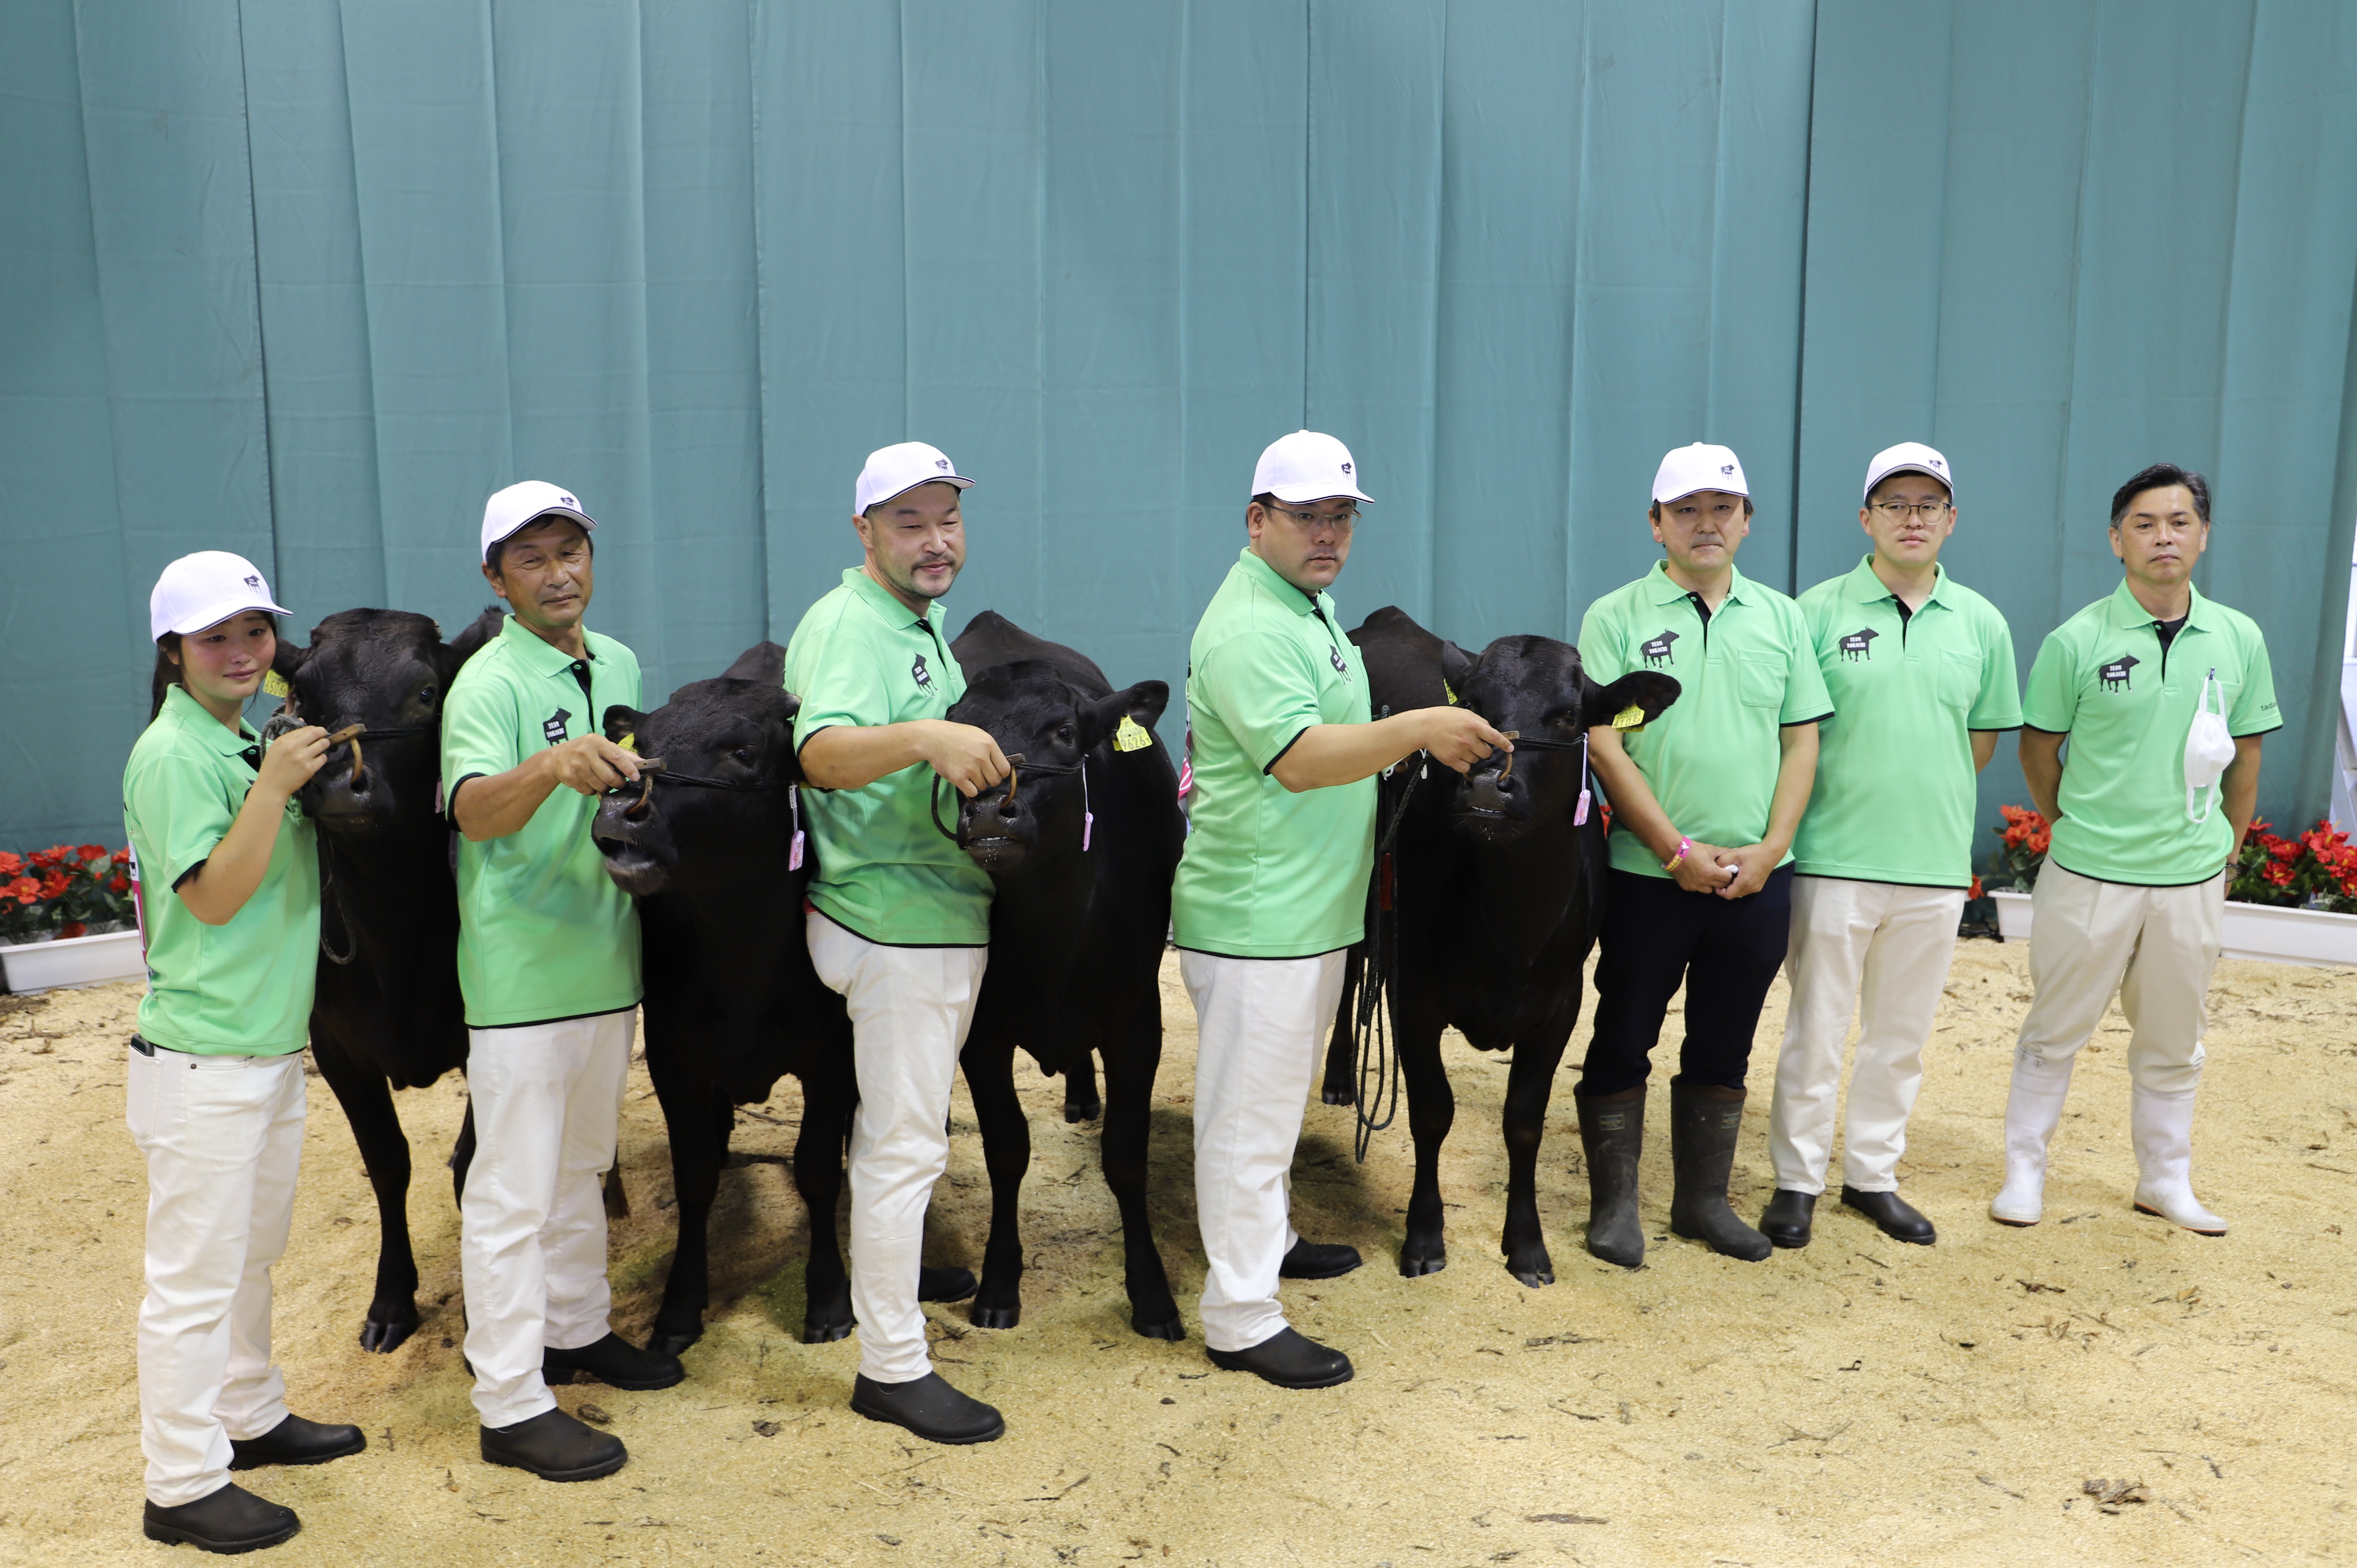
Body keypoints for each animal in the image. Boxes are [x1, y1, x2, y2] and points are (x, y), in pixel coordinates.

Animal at [270, 601, 499, 1348]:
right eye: (303, 695)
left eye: (426, 692)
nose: (342, 782)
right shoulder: (337, 1049)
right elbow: (387, 1162)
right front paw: (392, 1300)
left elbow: (474, 1165)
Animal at [943, 608, 1188, 1330]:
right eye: (957, 729)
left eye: (1063, 731)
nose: (988, 807)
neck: (1051, 937)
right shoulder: (981, 1031)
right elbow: (1006, 1147)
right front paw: (998, 1284)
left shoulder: (1137, 1018)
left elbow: (1125, 1155)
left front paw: (1151, 1292)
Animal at [1320, 608, 1687, 1282]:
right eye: (1471, 705)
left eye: (1568, 714)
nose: (1491, 783)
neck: (1512, 924)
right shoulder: (1414, 994)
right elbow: (1431, 1111)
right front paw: (1423, 1236)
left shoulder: (1560, 1002)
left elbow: (1523, 1121)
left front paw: (1526, 1245)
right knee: (1352, 967)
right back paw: (1337, 1077)